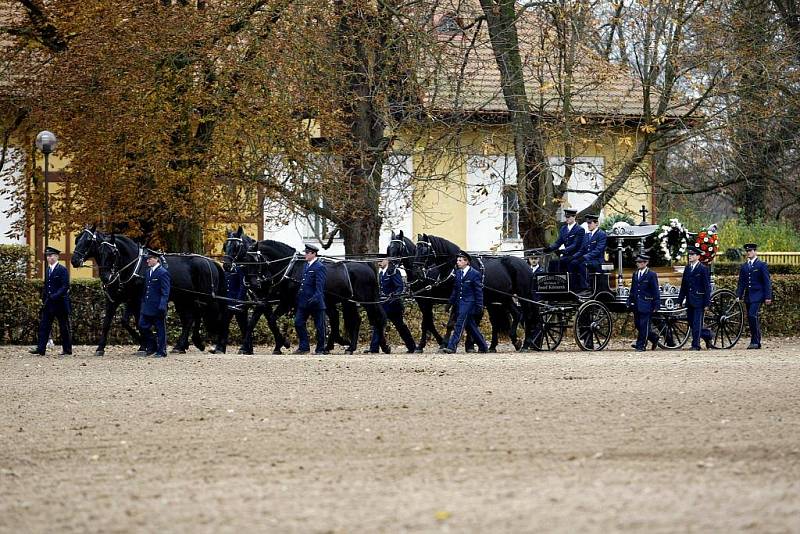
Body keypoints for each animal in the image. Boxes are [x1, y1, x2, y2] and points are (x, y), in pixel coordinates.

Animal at [71, 227, 225, 356]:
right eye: (77, 240)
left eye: (88, 241)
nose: (74, 260)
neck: (133, 265)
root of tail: (210, 262)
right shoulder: (117, 299)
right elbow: (113, 322)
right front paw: (101, 348)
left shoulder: (137, 300)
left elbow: (139, 321)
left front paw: (147, 344)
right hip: (184, 299)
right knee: (190, 318)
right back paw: (182, 345)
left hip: (204, 299)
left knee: (209, 316)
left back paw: (208, 344)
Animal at [222, 227, 388, 356]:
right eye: (225, 246)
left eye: (236, 246)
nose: (226, 265)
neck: (288, 269)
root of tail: (366, 265)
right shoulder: (265, 301)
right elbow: (259, 320)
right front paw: (250, 346)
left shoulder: (288, 302)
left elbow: (275, 320)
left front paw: (284, 343)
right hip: (347, 302)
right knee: (352, 320)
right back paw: (346, 346)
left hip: (365, 300)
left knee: (375, 318)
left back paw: (377, 347)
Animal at [390, 232, 536, 354]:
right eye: (389, 248)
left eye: (425, 250)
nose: (417, 271)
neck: (453, 269)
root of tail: (525, 264)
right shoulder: (424, 301)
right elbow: (429, 322)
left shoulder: (433, 300)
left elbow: (444, 323)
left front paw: (442, 344)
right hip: (503, 297)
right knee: (514, 315)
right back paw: (508, 342)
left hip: (522, 295)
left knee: (527, 315)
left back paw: (525, 344)